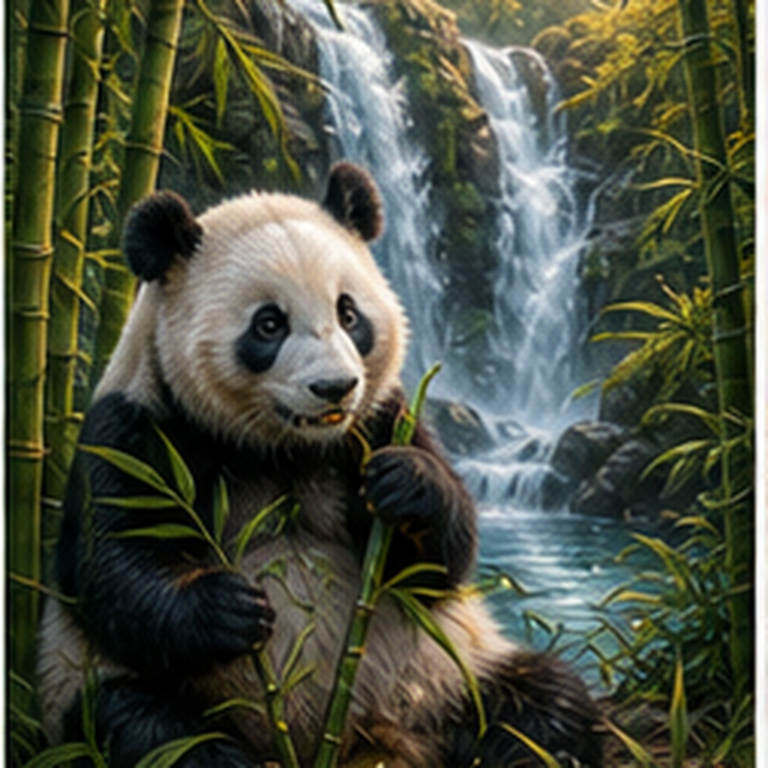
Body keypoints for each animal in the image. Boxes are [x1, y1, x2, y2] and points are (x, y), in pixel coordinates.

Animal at [38, 163, 603, 767]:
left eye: (348, 313)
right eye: (268, 324)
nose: (335, 387)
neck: (283, 447)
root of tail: (368, 741)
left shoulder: (379, 421)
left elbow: (435, 567)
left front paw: (408, 487)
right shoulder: (137, 429)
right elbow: (111, 569)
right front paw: (230, 608)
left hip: (451, 671)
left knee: (542, 702)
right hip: (99, 688)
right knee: (146, 727)